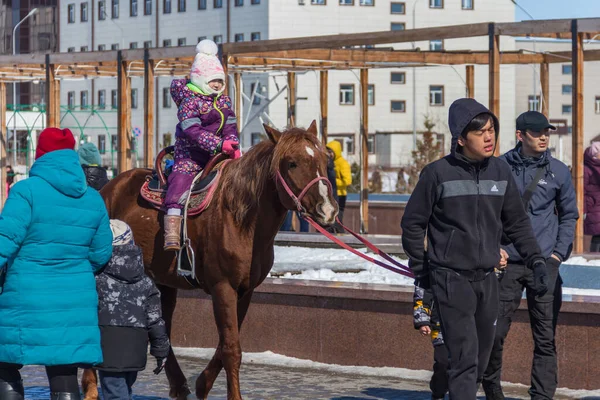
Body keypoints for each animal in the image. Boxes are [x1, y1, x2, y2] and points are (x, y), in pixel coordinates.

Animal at [83, 122, 338, 400]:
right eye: (292, 163)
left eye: (325, 159)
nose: (328, 210)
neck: (242, 218)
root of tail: (108, 188)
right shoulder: (222, 287)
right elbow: (231, 349)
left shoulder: (245, 290)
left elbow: (226, 343)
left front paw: (202, 384)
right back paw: (90, 386)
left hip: (163, 282)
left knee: (164, 329)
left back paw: (179, 385)